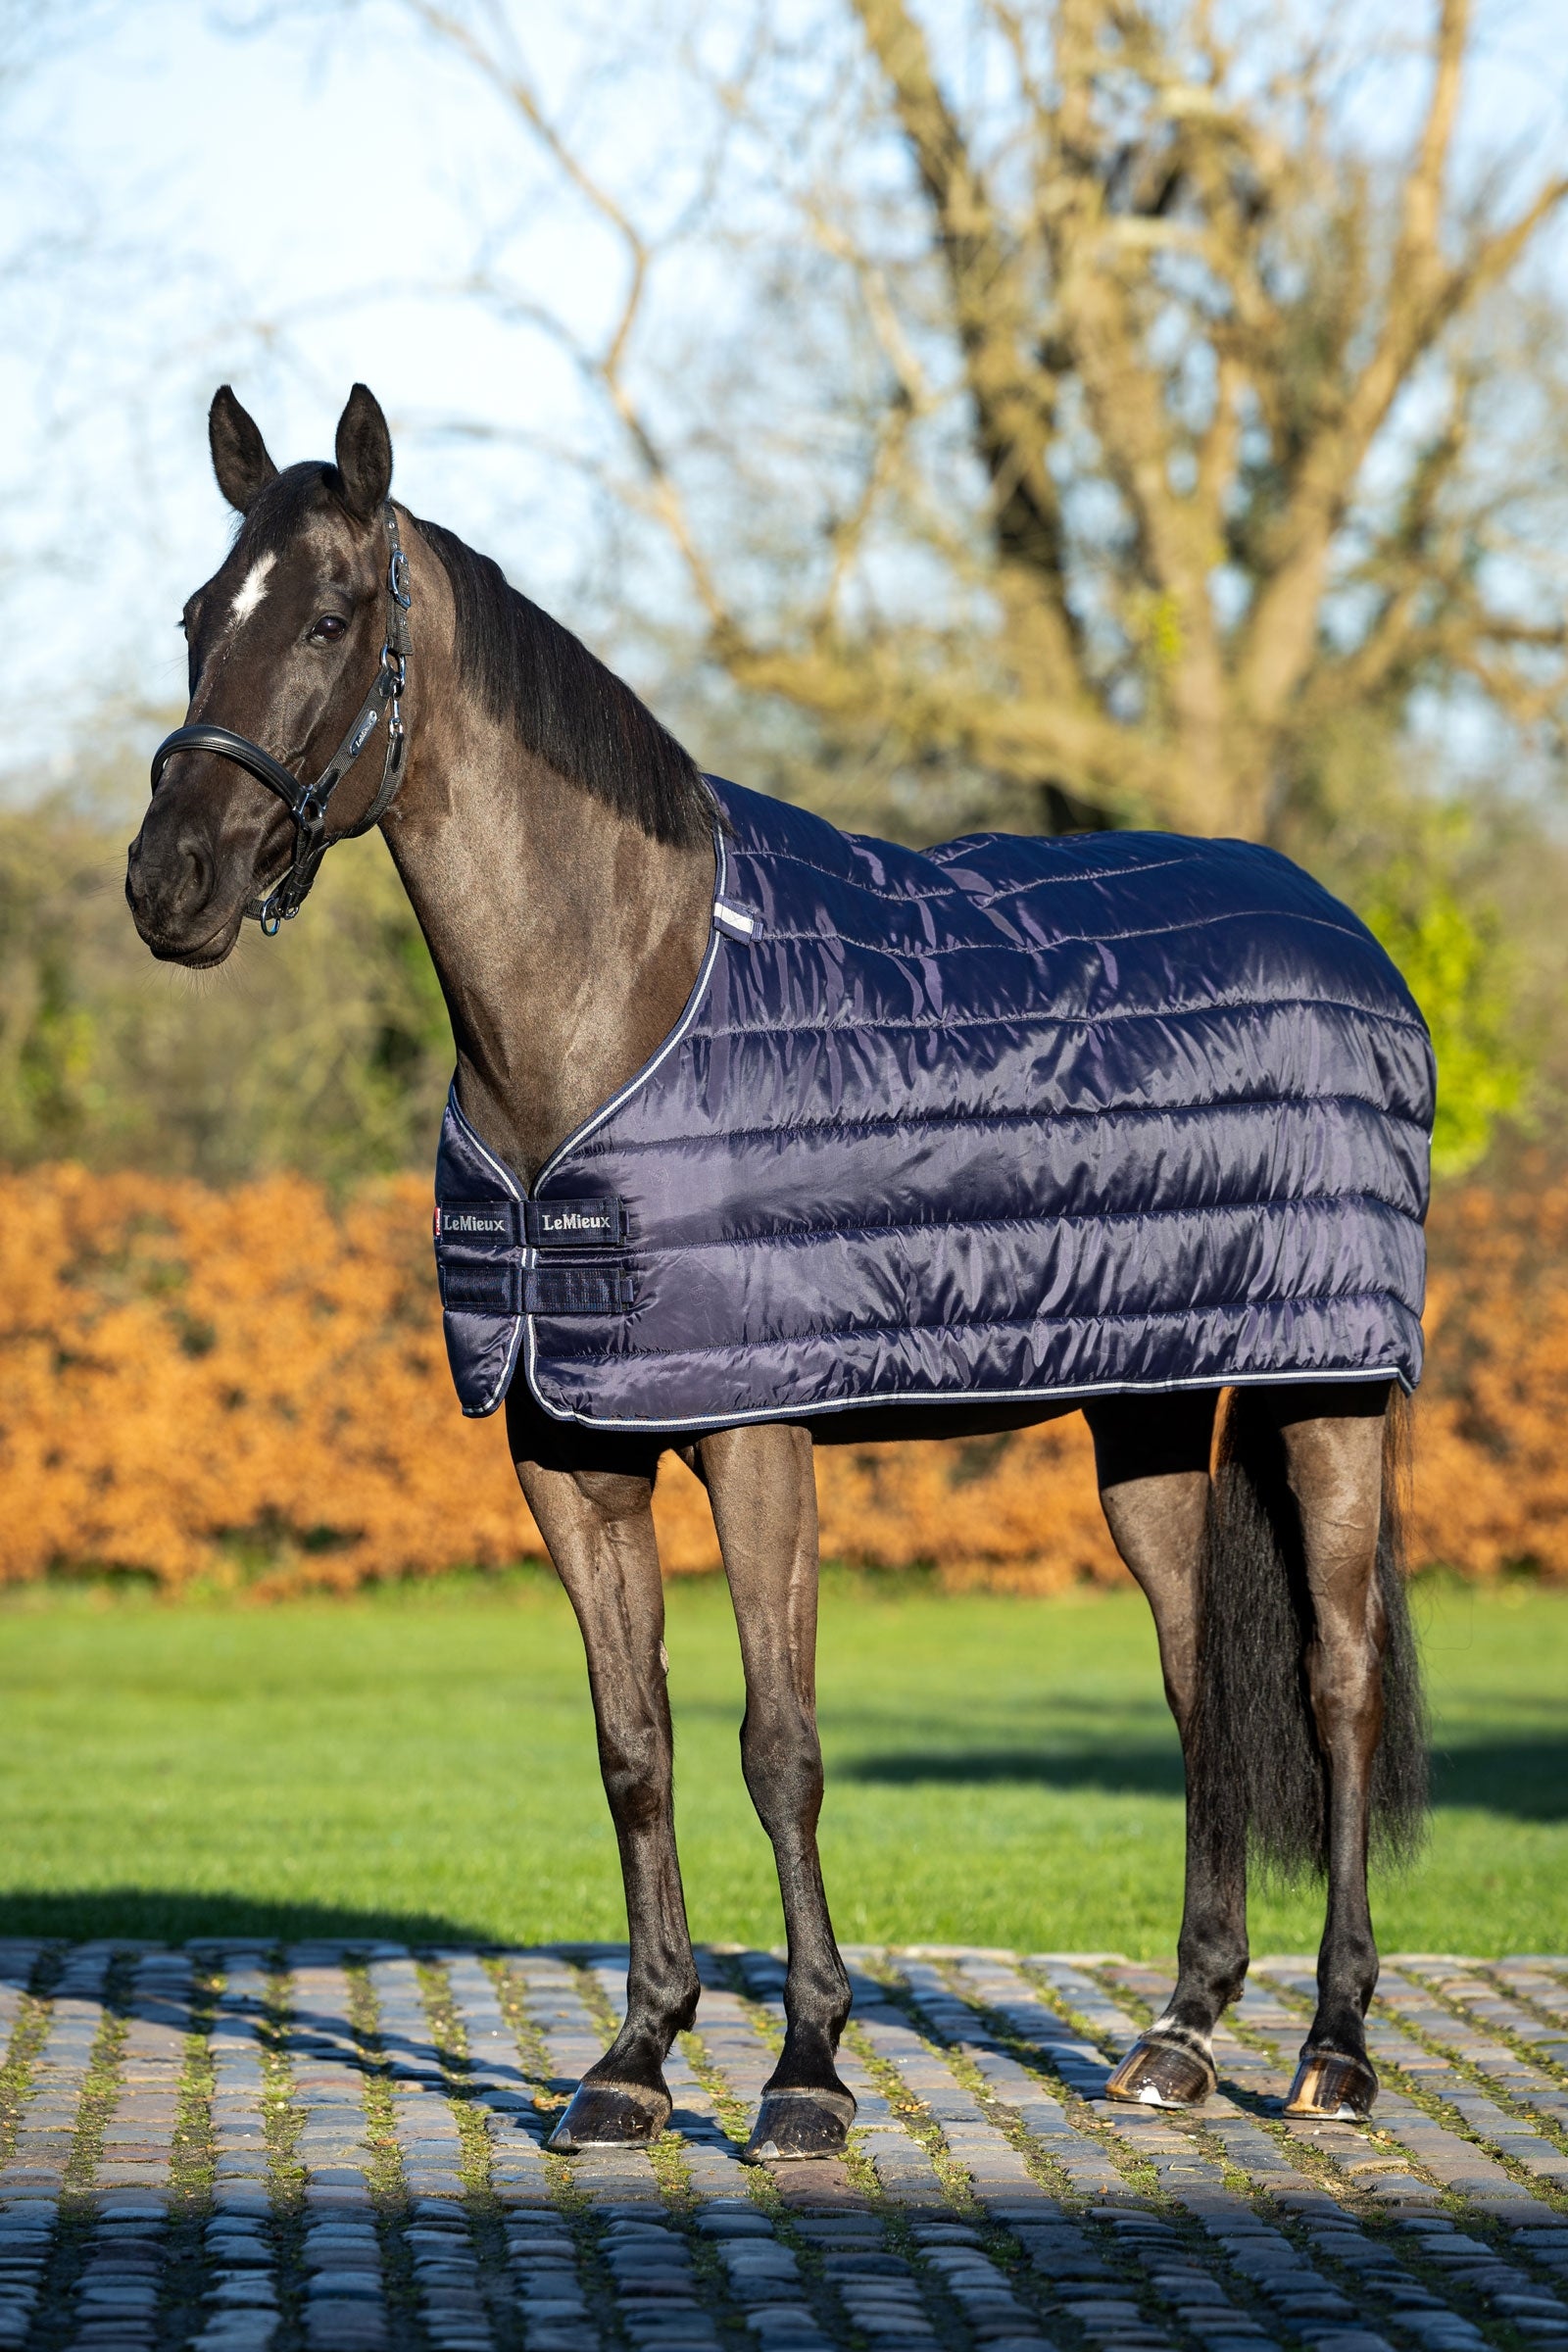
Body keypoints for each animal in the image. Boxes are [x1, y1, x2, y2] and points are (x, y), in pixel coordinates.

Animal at [126, 383, 1428, 2164]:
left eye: (327, 619)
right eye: (199, 615)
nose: (164, 883)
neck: (619, 995)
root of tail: (1341, 925)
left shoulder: (758, 1433)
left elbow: (780, 1745)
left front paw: (806, 2071)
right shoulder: (568, 1450)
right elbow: (636, 1744)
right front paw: (633, 2059)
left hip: (1333, 1389)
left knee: (1335, 1682)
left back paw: (1335, 2050)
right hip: (1153, 1415)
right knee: (1198, 1689)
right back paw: (1176, 2037)